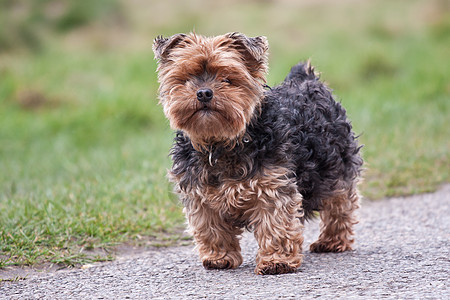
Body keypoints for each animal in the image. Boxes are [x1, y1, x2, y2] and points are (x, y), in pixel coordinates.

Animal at [153, 32, 364, 274]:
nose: (204, 93)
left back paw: (332, 241)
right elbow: (211, 228)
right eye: (187, 77)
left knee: (340, 203)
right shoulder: (200, 194)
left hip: (336, 165)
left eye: (227, 78)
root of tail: (306, 78)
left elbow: (275, 224)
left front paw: (276, 261)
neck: (222, 143)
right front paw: (219, 257)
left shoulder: (272, 185)